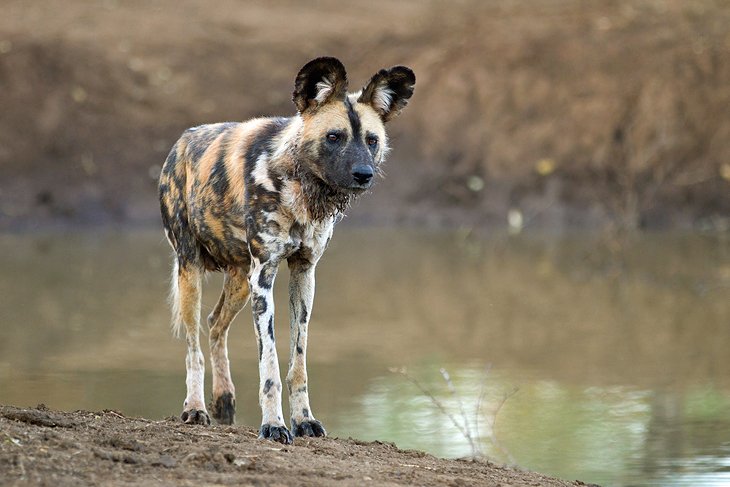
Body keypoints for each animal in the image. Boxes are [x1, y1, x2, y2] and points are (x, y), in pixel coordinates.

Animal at [157, 56, 412, 442]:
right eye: (334, 137)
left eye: (372, 140)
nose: (364, 173)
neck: (300, 187)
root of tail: (183, 140)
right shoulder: (264, 276)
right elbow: (271, 365)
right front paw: (273, 425)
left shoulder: (303, 273)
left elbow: (298, 363)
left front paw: (304, 420)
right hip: (192, 272)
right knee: (193, 347)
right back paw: (195, 408)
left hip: (240, 281)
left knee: (215, 324)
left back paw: (223, 400)